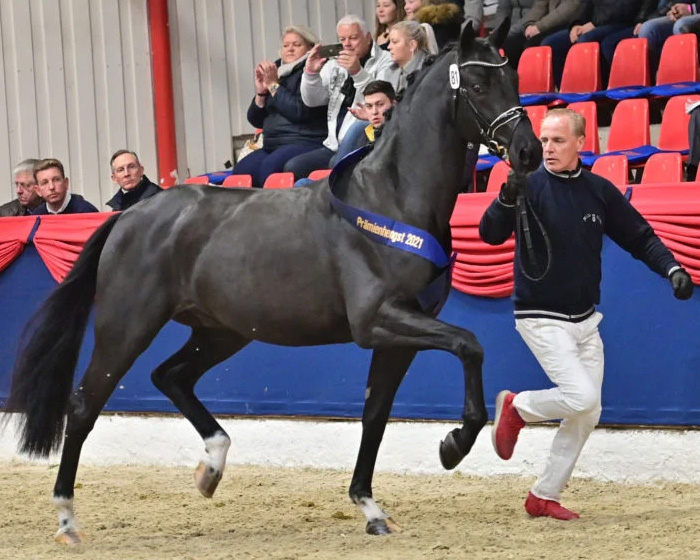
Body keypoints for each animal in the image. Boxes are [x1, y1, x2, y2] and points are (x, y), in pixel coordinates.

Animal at [2, 20, 540, 544]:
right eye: (478, 85)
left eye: (515, 80)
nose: (529, 152)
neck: (390, 199)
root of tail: (129, 216)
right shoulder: (379, 321)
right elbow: (470, 345)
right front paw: (454, 446)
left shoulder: (402, 333)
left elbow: (376, 413)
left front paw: (371, 507)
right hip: (128, 326)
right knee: (85, 404)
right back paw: (67, 520)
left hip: (222, 331)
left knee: (170, 376)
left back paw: (212, 466)